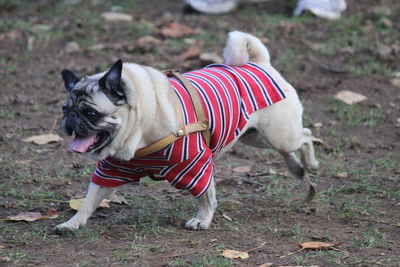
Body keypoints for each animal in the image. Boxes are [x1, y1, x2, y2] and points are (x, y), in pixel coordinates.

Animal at [56, 30, 318, 232]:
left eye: (90, 113)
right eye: (65, 109)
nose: (70, 118)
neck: (140, 129)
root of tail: (258, 63)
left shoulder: (195, 164)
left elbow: (205, 196)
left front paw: (203, 220)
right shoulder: (111, 169)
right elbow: (89, 200)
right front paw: (72, 223)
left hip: (279, 133)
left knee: (305, 136)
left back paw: (310, 163)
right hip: (255, 136)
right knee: (290, 147)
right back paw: (297, 168)